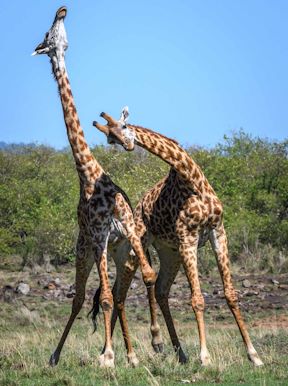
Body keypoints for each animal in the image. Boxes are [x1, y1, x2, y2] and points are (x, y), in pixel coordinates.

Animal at [32, 6, 155, 368]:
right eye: (48, 34)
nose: (61, 10)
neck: (89, 173)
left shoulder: (126, 230)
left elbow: (146, 277)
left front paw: (142, 349)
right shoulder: (99, 238)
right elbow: (101, 300)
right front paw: (109, 356)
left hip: (117, 250)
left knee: (115, 294)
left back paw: (129, 353)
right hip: (84, 252)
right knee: (82, 298)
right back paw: (57, 355)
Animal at [94, 107, 264, 366]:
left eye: (123, 127)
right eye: (110, 139)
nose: (128, 145)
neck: (191, 180)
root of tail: (137, 208)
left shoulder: (218, 232)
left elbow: (231, 294)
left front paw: (254, 355)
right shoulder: (188, 238)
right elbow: (198, 299)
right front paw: (205, 357)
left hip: (169, 253)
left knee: (161, 290)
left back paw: (178, 352)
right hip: (138, 248)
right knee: (120, 292)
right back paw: (113, 352)